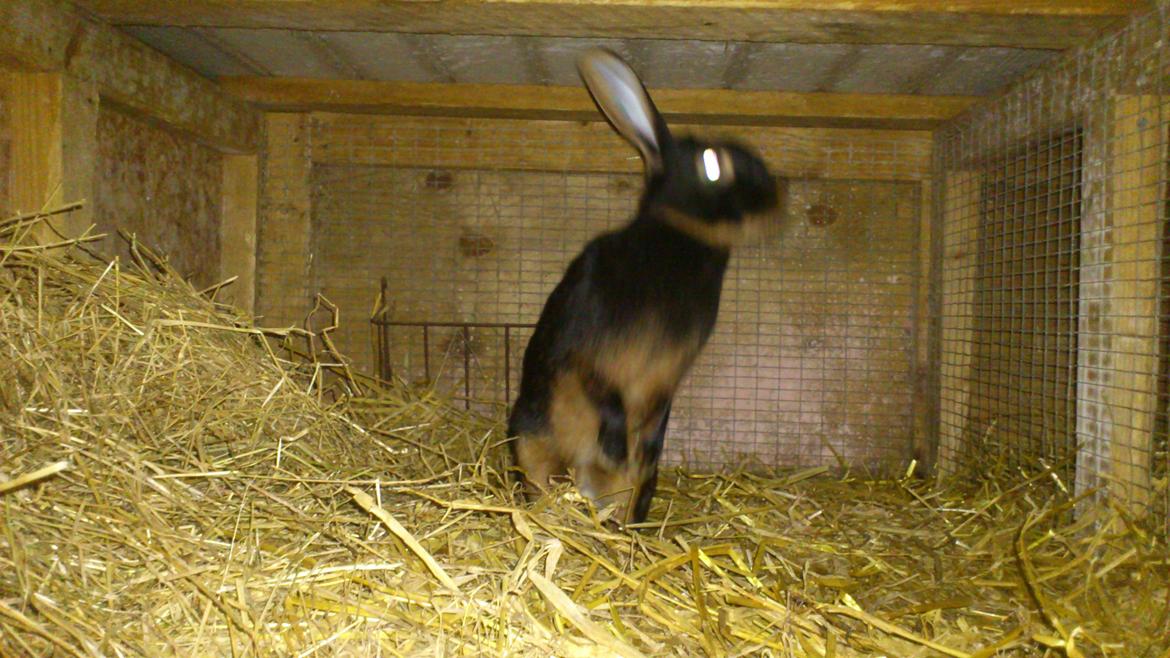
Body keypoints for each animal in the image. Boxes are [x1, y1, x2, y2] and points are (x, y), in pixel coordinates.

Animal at [507, 48, 780, 525]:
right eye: (712, 165)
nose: (777, 198)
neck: (681, 238)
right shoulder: (586, 355)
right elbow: (606, 398)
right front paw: (616, 448)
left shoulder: (664, 382)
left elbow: (655, 423)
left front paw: (643, 451)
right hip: (530, 435)